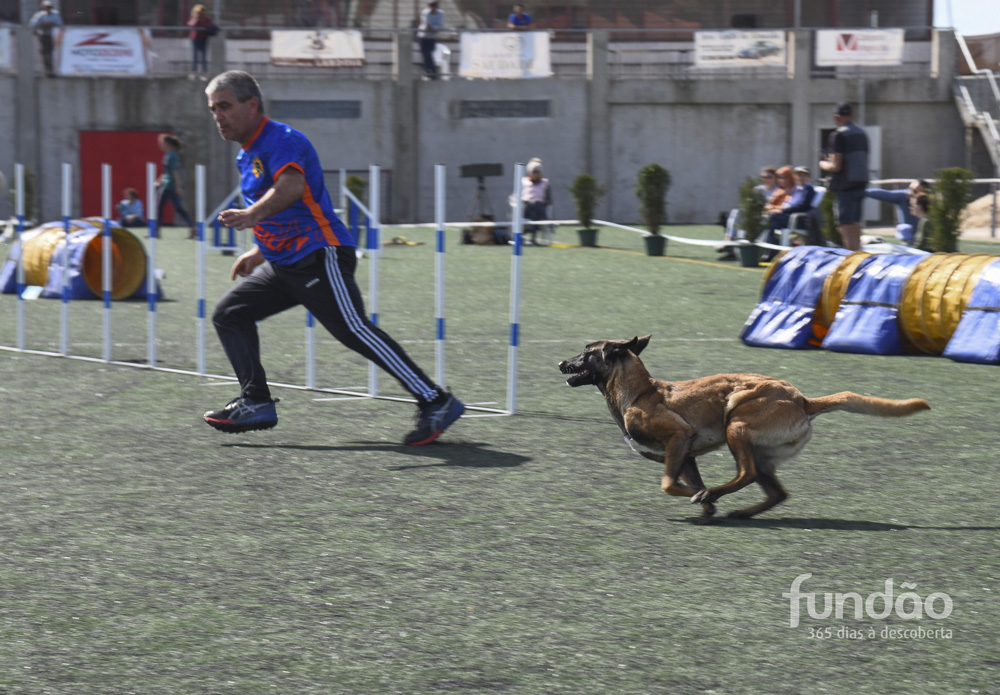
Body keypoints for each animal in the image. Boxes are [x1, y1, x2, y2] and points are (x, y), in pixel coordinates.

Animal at [560, 338, 932, 520]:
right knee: (776, 492)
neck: (639, 392)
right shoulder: (686, 456)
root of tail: (802, 400)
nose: (561, 363)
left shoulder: (679, 438)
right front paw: (706, 506)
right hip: (762, 453)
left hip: (736, 425)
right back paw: (738, 510)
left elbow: (669, 484)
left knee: (746, 474)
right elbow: (686, 480)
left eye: (586, 352)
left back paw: (716, 495)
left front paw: (701, 497)